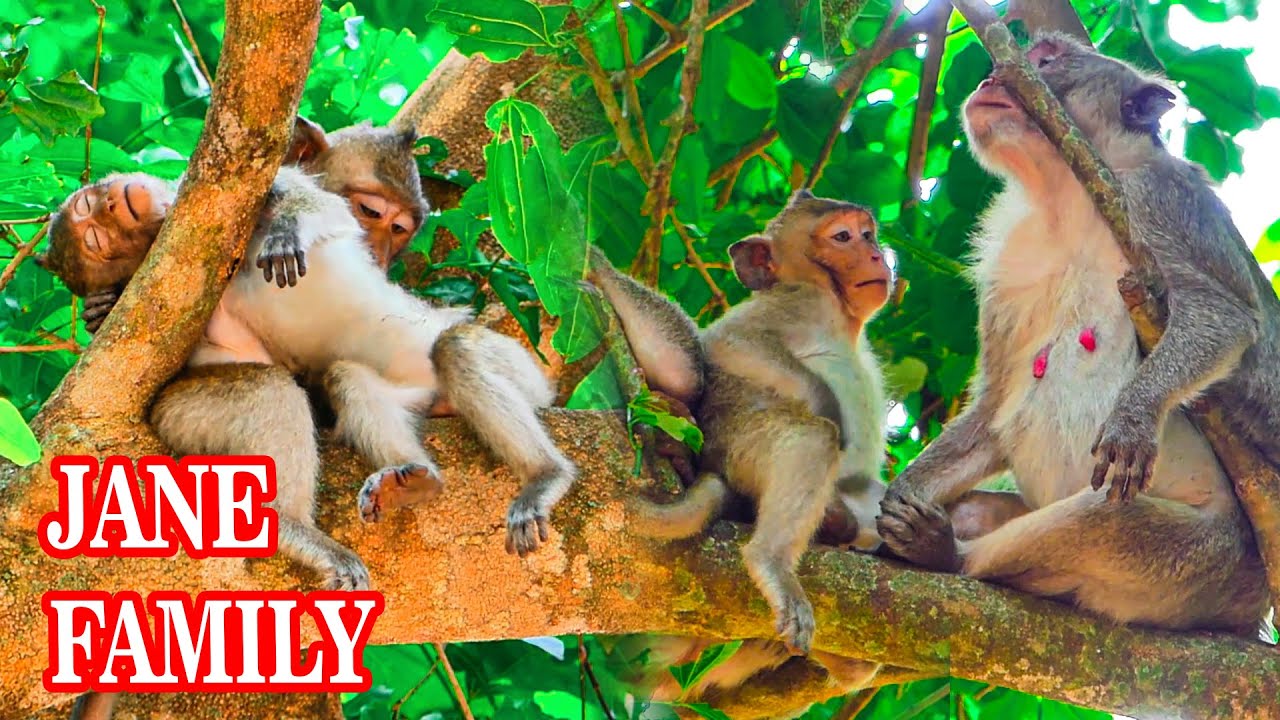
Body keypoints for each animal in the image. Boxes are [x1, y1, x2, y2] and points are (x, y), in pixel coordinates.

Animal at [876, 32, 1272, 635]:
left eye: (1046, 61)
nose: (990, 78)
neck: (1066, 197)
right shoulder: (1008, 259)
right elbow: (994, 406)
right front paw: (901, 490)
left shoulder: (1162, 200)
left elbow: (1222, 315)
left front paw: (1135, 415)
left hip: (1207, 560)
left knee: (1104, 515)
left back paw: (948, 553)